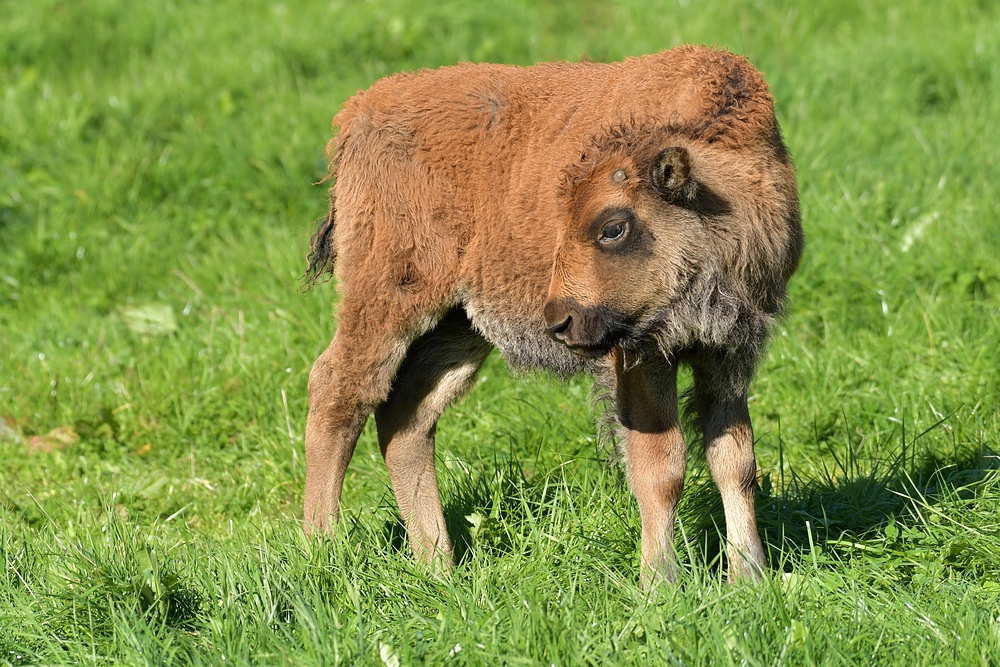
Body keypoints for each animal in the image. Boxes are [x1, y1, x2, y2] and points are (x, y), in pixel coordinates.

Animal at [300, 45, 800, 584]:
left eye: (612, 227)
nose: (559, 322)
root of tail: (358, 114)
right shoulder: (640, 357)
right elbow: (661, 469)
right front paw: (659, 582)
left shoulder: (727, 354)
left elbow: (736, 461)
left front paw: (751, 576)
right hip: (387, 298)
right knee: (340, 390)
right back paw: (321, 550)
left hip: (459, 324)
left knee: (407, 414)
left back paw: (438, 566)